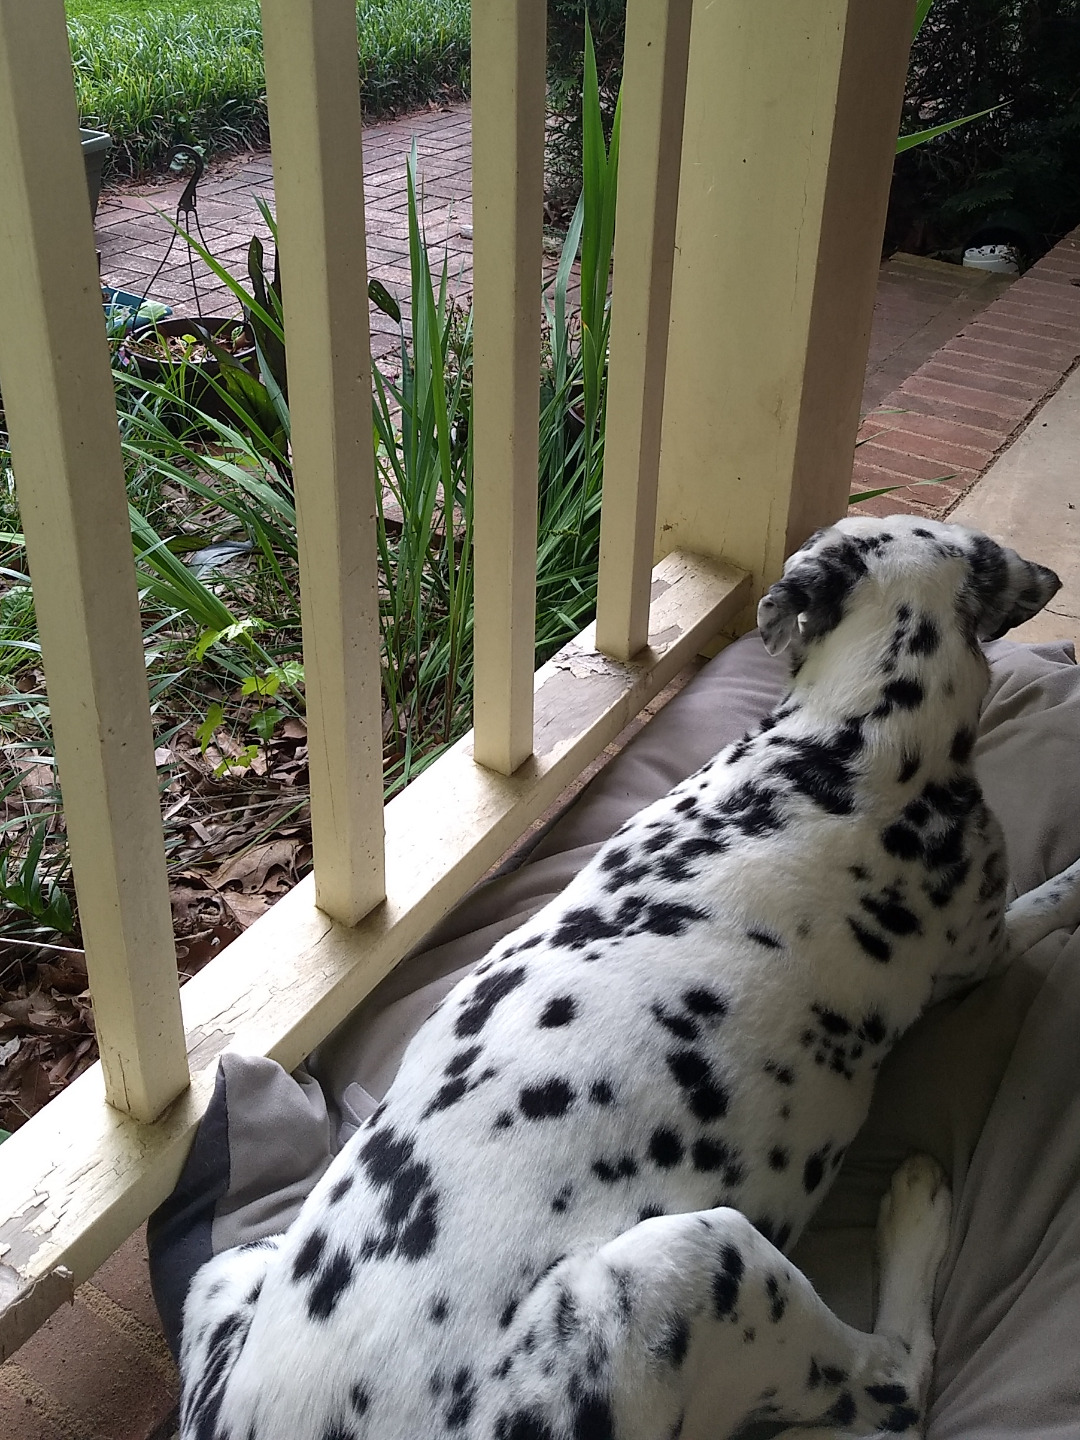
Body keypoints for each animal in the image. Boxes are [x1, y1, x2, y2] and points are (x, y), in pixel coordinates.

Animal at [177, 518, 1080, 1440]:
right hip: (697, 1259)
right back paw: (914, 1214)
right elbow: (1048, 900)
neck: (846, 740)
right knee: (895, 1385)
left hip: (232, 1268)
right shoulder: (982, 944)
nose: (1050, 581)